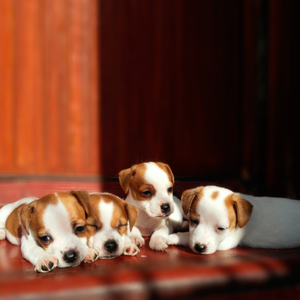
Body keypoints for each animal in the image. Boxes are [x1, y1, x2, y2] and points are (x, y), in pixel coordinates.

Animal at [168, 186, 300, 254]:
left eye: (221, 228)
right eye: (194, 221)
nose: (199, 248)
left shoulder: (227, 242)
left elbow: (186, 236)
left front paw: (173, 237)